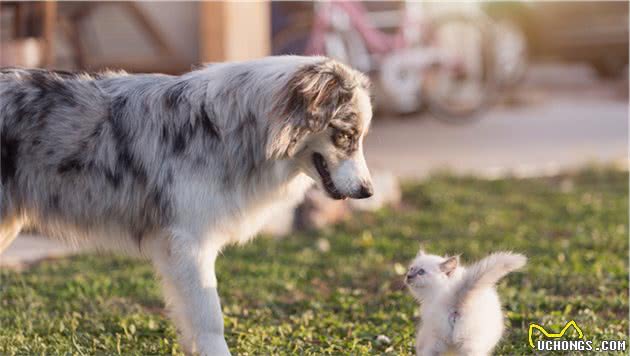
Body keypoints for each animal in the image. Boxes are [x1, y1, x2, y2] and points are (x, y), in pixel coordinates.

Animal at [0, 55, 376, 354]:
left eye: (360, 137)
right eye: (345, 135)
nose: (368, 191)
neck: (231, 131)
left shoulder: (177, 250)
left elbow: (190, 317)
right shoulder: (190, 242)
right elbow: (210, 318)